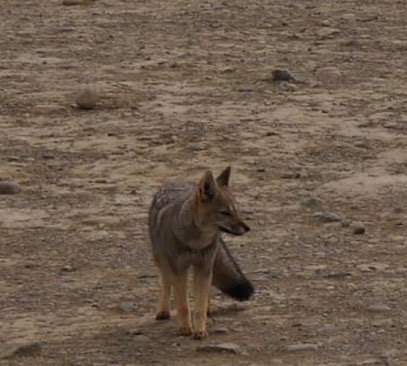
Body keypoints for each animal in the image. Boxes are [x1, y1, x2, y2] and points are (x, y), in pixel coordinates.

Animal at [148, 167, 253, 338]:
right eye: (225, 213)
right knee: (165, 283)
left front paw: (200, 330)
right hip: (162, 261)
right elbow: (183, 305)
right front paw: (185, 328)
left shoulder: (204, 268)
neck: (196, 243)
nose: (247, 228)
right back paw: (163, 311)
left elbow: (200, 305)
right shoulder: (179, 270)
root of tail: (177, 183)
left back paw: (208, 309)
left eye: (236, 211)